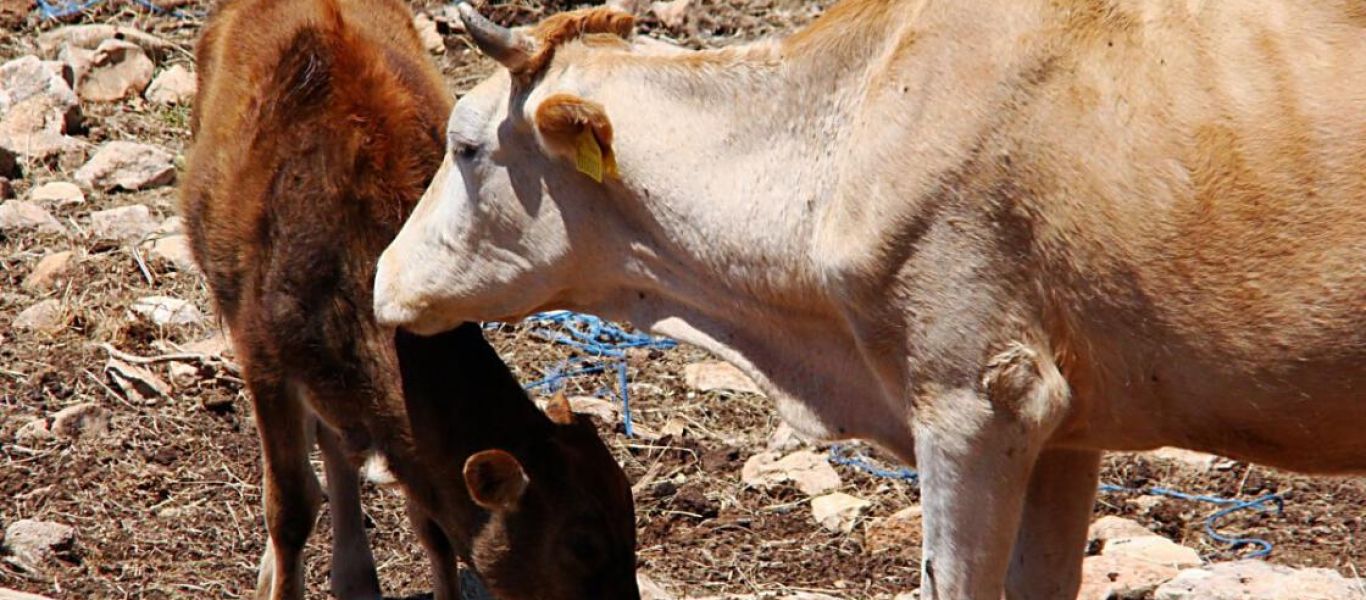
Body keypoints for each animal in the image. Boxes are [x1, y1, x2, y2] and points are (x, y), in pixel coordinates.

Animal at [180, 1, 639, 600]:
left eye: (631, 518)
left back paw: (354, 576)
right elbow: (290, 508)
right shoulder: (263, 360)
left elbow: (432, 523)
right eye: (583, 544)